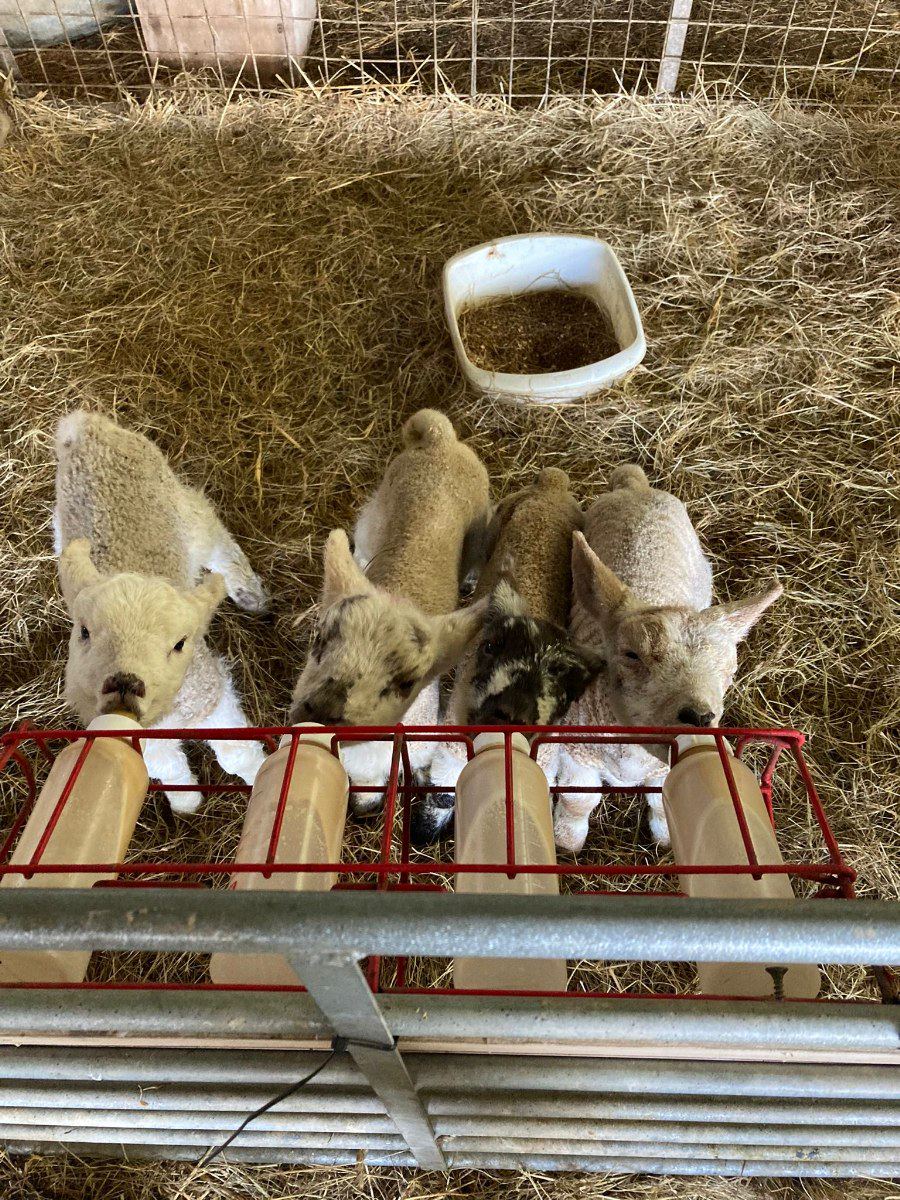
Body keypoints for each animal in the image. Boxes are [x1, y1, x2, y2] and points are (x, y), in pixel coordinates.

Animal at [54, 410, 268, 813]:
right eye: (84, 632)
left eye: (179, 643)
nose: (125, 683)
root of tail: (86, 427)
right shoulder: (139, 735)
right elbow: (166, 766)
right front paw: (187, 802)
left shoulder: (211, 696)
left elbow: (236, 752)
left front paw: (263, 776)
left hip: (183, 510)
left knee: (218, 543)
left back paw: (250, 593)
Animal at [289, 409, 492, 809]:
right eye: (318, 641)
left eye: (407, 682)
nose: (320, 712)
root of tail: (439, 438)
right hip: (376, 511)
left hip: (481, 528)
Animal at [416, 468, 603, 844]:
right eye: (490, 646)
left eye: (569, 684)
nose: (508, 714)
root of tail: (551, 482)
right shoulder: (452, 741)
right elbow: (443, 788)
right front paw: (425, 828)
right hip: (496, 524)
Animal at [551, 465, 783, 851]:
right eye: (631, 654)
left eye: (729, 671)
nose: (699, 717)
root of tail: (636, 487)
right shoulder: (576, 754)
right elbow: (578, 799)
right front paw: (567, 841)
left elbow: (661, 803)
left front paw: (665, 840)